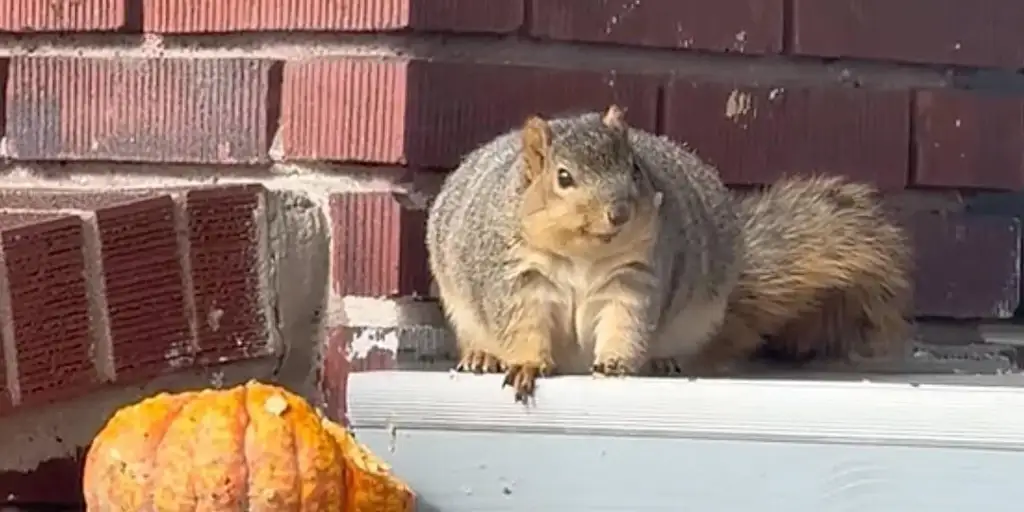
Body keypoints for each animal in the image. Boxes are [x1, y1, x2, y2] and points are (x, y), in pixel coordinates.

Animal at [425, 105, 745, 401]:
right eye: (563, 177)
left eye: (635, 168)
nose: (619, 213)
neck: (583, 255)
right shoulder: (518, 275)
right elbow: (522, 322)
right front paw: (528, 364)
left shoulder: (632, 277)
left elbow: (625, 319)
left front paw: (614, 362)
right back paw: (482, 356)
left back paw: (662, 361)